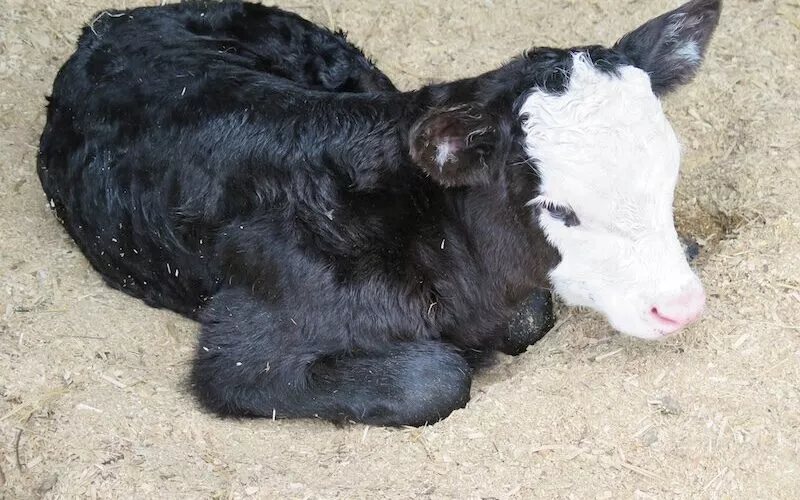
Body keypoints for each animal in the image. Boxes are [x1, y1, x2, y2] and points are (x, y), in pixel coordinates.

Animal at [37, 0, 721, 426]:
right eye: (559, 208)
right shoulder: (242, 357)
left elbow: (530, 315)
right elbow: (439, 378)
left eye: (668, 173)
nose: (682, 305)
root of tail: (118, 21)